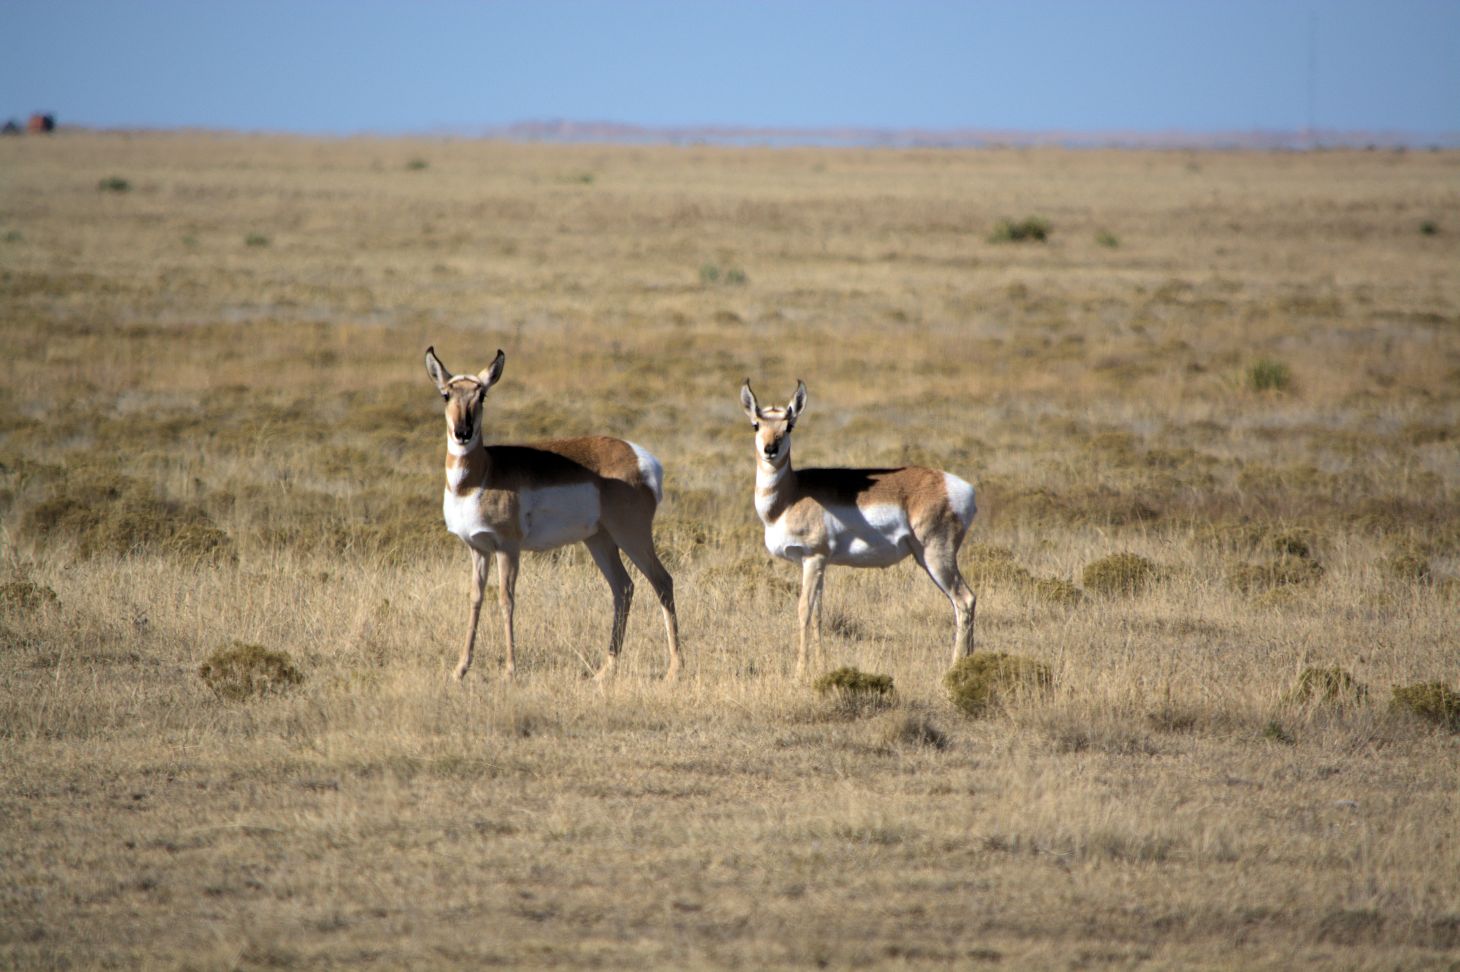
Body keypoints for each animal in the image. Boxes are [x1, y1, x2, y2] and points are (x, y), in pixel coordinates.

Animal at [426, 347, 681, 682]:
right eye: (446, 394)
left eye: (481, 395)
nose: (462, 433)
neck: (482, 474)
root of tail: (640, 457)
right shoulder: (478, 549)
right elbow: (475, 599)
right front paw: (460, 669)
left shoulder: (508, 549)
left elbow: (506, 599)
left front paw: (510, 670)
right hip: (599, 541)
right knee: (623, 587)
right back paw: (604, 670)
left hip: (632, 537)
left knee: (662, 582)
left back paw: (675, 669)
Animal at [740, 380, 978, 676]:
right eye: (756, 424)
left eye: (789, 425)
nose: (770, 449)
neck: (790, 495)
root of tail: (958, 486)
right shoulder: (819, 565)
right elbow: (818, 613)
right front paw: (822, 666)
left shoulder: (813, 559)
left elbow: (804, 610)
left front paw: (800, 673)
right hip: (925, 559)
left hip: (937, 557)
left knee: (964, 600)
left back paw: (955, 669)